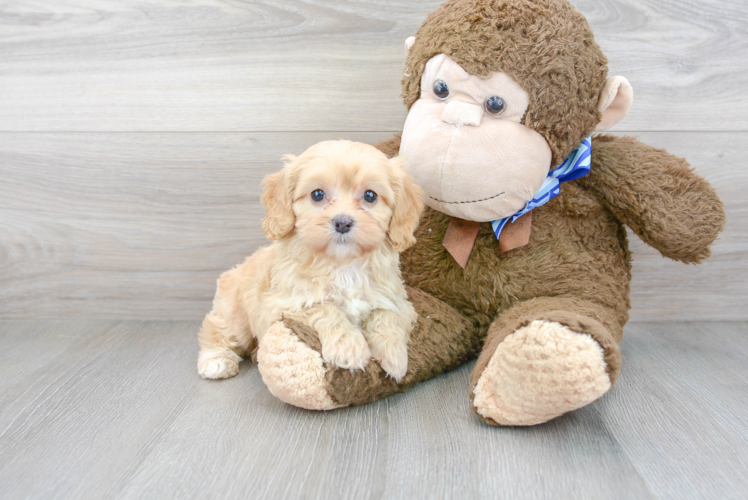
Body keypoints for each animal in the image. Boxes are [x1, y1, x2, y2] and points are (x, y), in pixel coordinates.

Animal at [196, 141, 424, 382]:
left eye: (370, 196)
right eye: (317, 194)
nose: (342, 222)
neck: (343, 265)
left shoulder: (396, 299)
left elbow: (387, 315)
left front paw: (394, 355)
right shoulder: (286, 303)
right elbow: (325, 309)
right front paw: (349, 348)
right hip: (234, 312)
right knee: (218, 329)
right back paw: (216, 360)